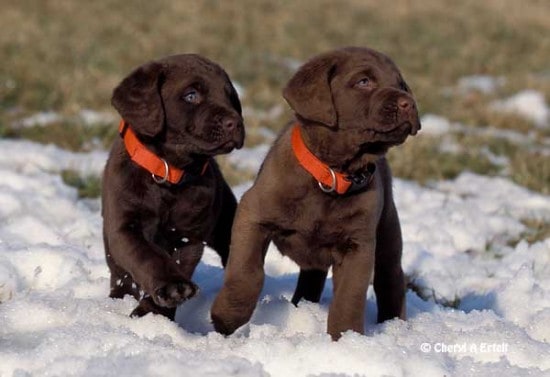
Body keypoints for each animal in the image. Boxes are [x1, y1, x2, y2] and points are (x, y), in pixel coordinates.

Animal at [103, 53, 246, 318]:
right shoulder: (124, 227)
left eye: (230, 96)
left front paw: (155, 312)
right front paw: (171, 288)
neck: (168, 173)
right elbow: (147, 256)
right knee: (120, 275)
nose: (236, 123)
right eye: (191, 95)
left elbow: (179, 263)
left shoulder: (188, 237)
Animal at [211, 45, 422, 340]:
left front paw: (346, 340)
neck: (331, 175)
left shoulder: (358, 246)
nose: (408, 103)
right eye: (364, 81)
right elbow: (247, 274)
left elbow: (349, 298)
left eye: (401, 85)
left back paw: (395, 326)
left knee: (390, 278)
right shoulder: (251, 216)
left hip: (387, 233)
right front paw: (226, 317)